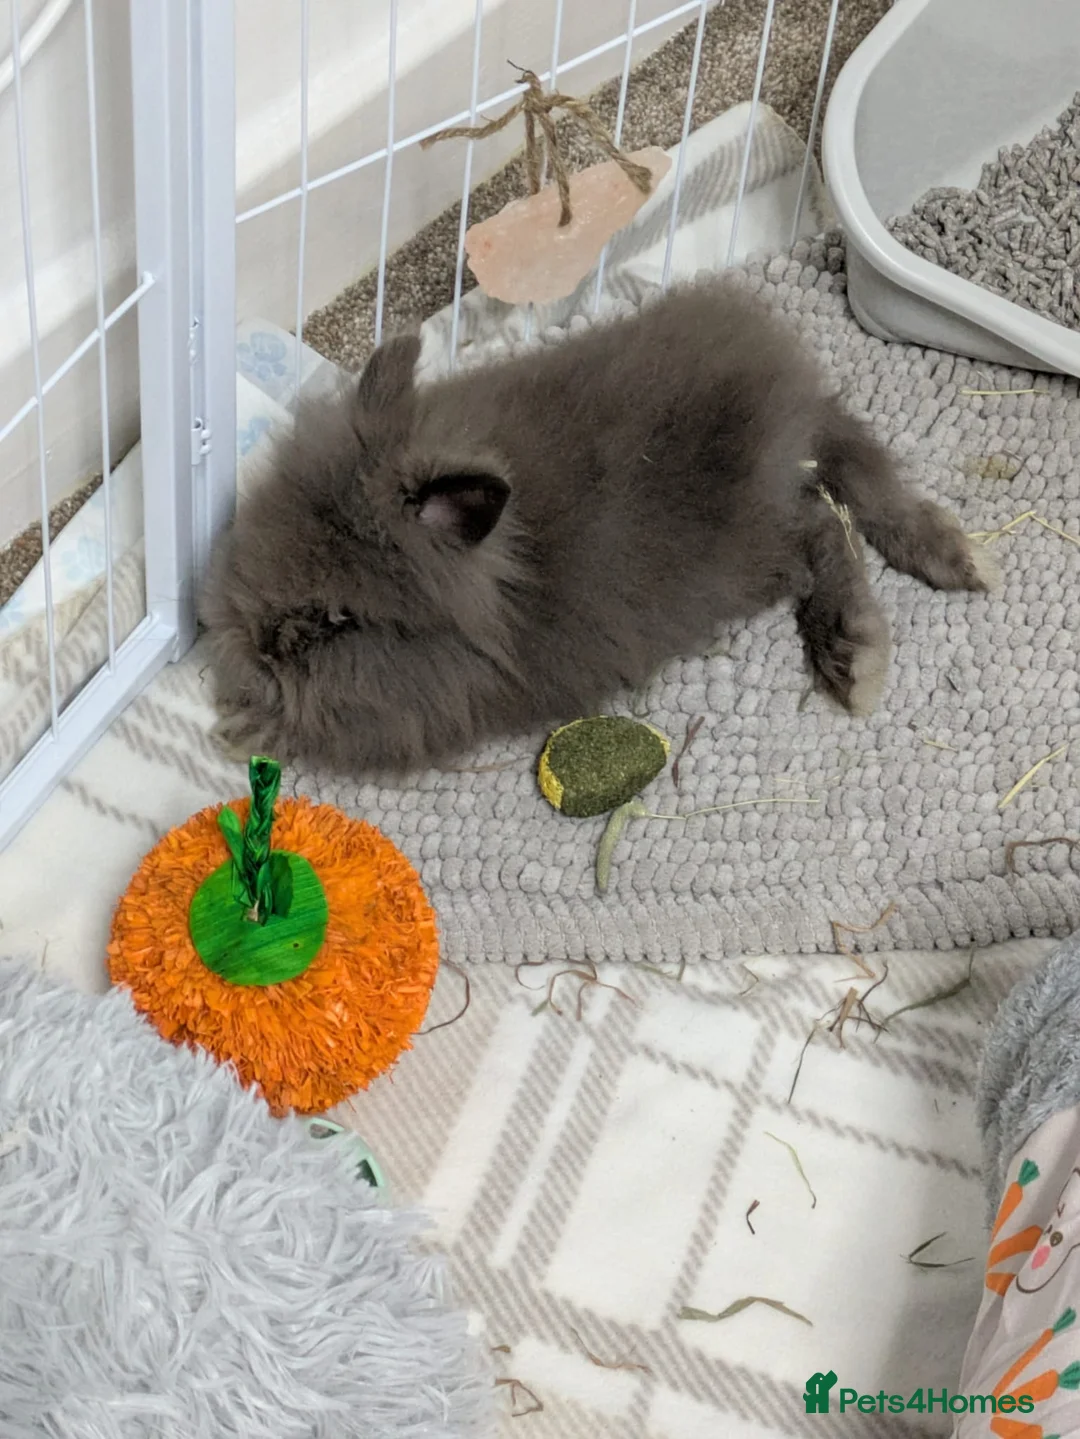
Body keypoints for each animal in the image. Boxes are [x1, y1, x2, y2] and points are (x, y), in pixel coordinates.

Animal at [200, 278, 996, 776]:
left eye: (339, 619)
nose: (261, 644)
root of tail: (791, 406)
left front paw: (243, 729)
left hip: (760, 546)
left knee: (827, 529)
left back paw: (854, 656)